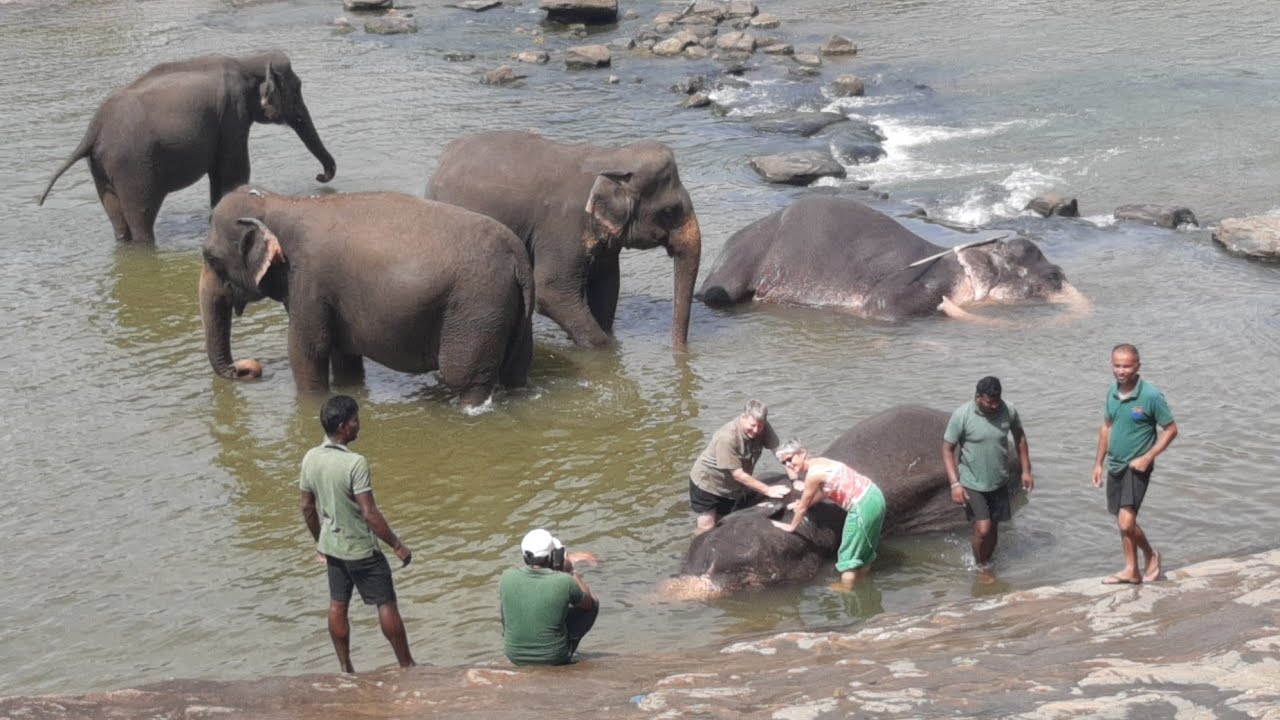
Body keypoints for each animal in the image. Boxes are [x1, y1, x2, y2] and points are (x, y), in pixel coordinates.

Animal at [39, 52, 335, 245]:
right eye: (296, 90)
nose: (321, 176)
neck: (246, 60)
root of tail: (93, 130)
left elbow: (221, 174)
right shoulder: (232, 115)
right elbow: (234, 171)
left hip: (101, 168)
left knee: (116, 216)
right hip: (133, 168)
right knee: (141, 216)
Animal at [200, 187, 533, 409]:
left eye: (211, 258)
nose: (249, 367)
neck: (276, 201)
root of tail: (517, 256)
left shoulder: (308, 282)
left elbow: (307, 351)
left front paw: (312, 403)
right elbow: (343, 355)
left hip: (476, 308)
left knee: (464, 378)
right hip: (508, 311)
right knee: (515, 372)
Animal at [425, 130, 702, 351]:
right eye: (670, 211)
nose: (678, 351)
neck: (612, 156)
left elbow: (607, 285)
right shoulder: (563, 225)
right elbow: (552, 291)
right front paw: (607, 351)